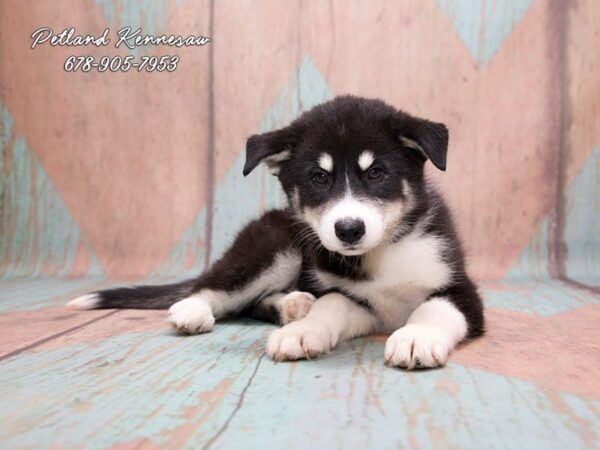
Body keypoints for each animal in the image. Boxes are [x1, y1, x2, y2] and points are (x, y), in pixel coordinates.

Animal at [69, 95, 482, 370]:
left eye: (377, 173)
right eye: (318, 178)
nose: (348, 229)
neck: (383, 252)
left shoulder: (462, 290)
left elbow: (433, 308)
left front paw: (416, 337)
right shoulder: (347, 293)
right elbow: (332, 303)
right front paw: (303, 331)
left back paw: (293, 305)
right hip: (274, 248)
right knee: (213, 289)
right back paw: (196, 311)